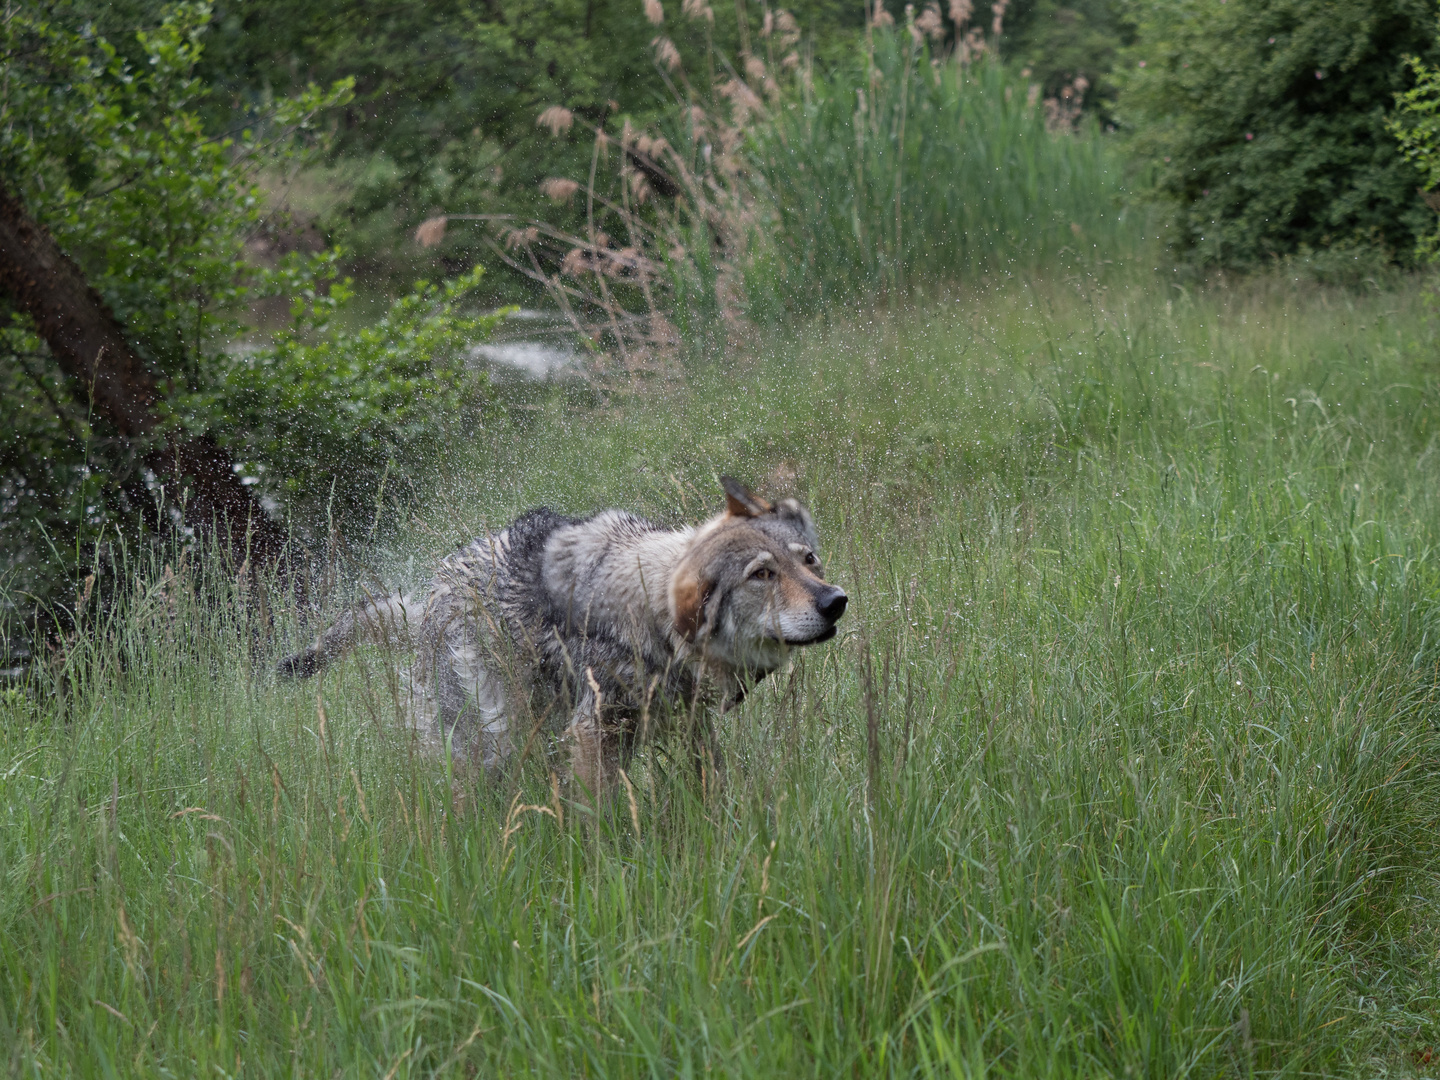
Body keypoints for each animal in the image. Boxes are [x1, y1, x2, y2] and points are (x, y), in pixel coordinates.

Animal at [272, 478, 840, 800]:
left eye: (808, 561)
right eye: (762, 574)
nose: (836, 601)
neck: (652, 617)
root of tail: (434, 589)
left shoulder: (687, 725)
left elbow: (714, 787)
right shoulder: (592, 734)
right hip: (495, 739)